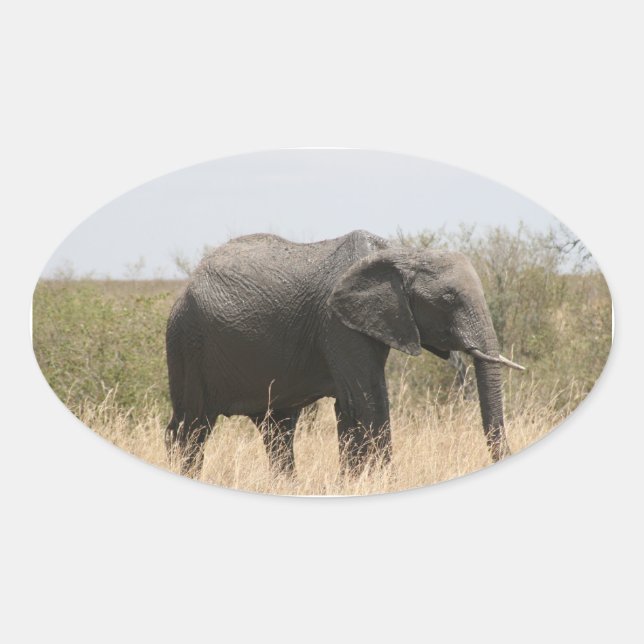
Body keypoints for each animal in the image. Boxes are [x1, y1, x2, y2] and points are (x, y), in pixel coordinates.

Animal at [165, 229, 525, 478]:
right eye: (449, 299)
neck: (400, 253)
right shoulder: (337, 323)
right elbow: (367, 400)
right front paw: (385, 483)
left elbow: (350, 406)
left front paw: (352, 482)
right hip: (187, 342)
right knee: (192, 425)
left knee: (277, 428)